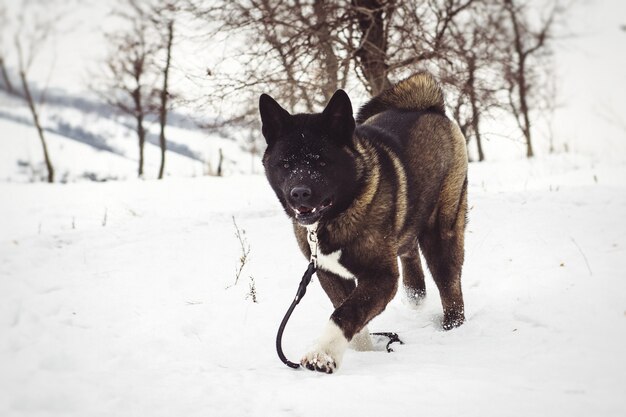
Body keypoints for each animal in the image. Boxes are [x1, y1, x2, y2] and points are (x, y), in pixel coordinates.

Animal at [256, 70, 466, 372]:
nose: (299, 193)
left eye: (322, 162)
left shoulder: (381, 276)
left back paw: (452, 328)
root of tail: (429, 106)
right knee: (409, 248)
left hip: (442, 228)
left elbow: (346, 313)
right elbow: (348, 315)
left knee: (449, 283)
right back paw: (415, 295)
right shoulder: (329, 274)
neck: (335, 218)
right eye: (285, 163)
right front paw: (364, 352)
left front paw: (323, 354)